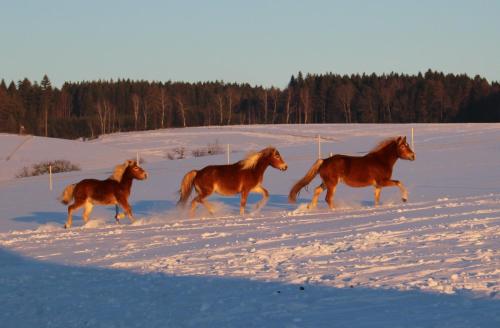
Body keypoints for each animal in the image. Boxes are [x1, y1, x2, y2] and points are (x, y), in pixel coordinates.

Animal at [288, 136, 416, 210]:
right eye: (403, 146)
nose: (413, 156)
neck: (381, 160)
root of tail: (324, 161)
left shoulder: (378, 185)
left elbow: (376, 199)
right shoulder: (382, 181)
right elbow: (399, 182)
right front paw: (404, 198)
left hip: (326, 183)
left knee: (317, 191)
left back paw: (311, 207)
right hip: (332, 184)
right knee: (328, 198)